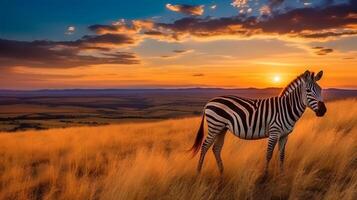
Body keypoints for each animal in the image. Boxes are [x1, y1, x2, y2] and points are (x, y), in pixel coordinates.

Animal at [189, 70, 326, 175]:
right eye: (308, 91)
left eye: (320, 89)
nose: (323, 110)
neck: (286, 108)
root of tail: (209, 102)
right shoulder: (274, 132)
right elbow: (269, 154)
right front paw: (265, 176)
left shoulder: (285, 135)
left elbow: (282, 155)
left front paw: (282, 175)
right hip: (215, 126)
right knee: (204, 146)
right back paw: (198, 172)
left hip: (222, 128)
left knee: (216, 149)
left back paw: (222, 172)